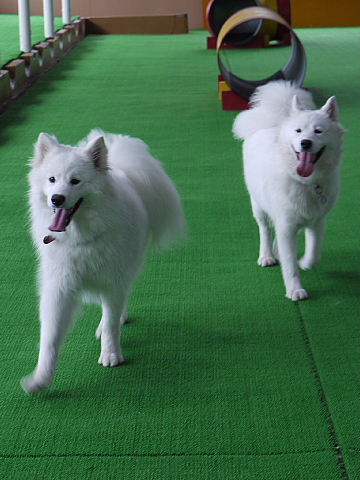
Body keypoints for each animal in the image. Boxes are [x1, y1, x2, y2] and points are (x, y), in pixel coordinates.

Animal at [21, 129, 187, 392]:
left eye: (75, 181)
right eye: (52, 179)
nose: (57, 199)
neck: (81, 238)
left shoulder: (113, 282)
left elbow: (110, 323)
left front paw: (111, 355)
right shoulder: (59, 288)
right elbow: (50, 336)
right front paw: (41, 378)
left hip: (128, 269)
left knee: (120, 303)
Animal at [232, 81, 344, 300]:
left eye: (318, 131)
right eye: (298, 131)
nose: (305, 143)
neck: (307, 182)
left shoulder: (316, 221)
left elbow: (314, 252)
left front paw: (306, 263)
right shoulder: (287, 224)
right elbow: (290, 264)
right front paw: (295, 290)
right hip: (258, 206)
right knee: (265, 230)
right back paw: (267, 256)